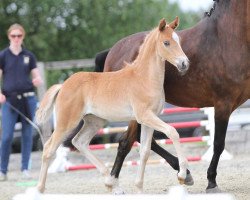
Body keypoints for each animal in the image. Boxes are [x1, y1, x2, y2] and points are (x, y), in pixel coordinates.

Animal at [94, 0, 250, 194]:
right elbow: (218, 144)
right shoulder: (223, 104)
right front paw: (211, 182)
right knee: (127, 141)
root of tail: (112, 51)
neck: (228, 38)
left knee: (135, 140)